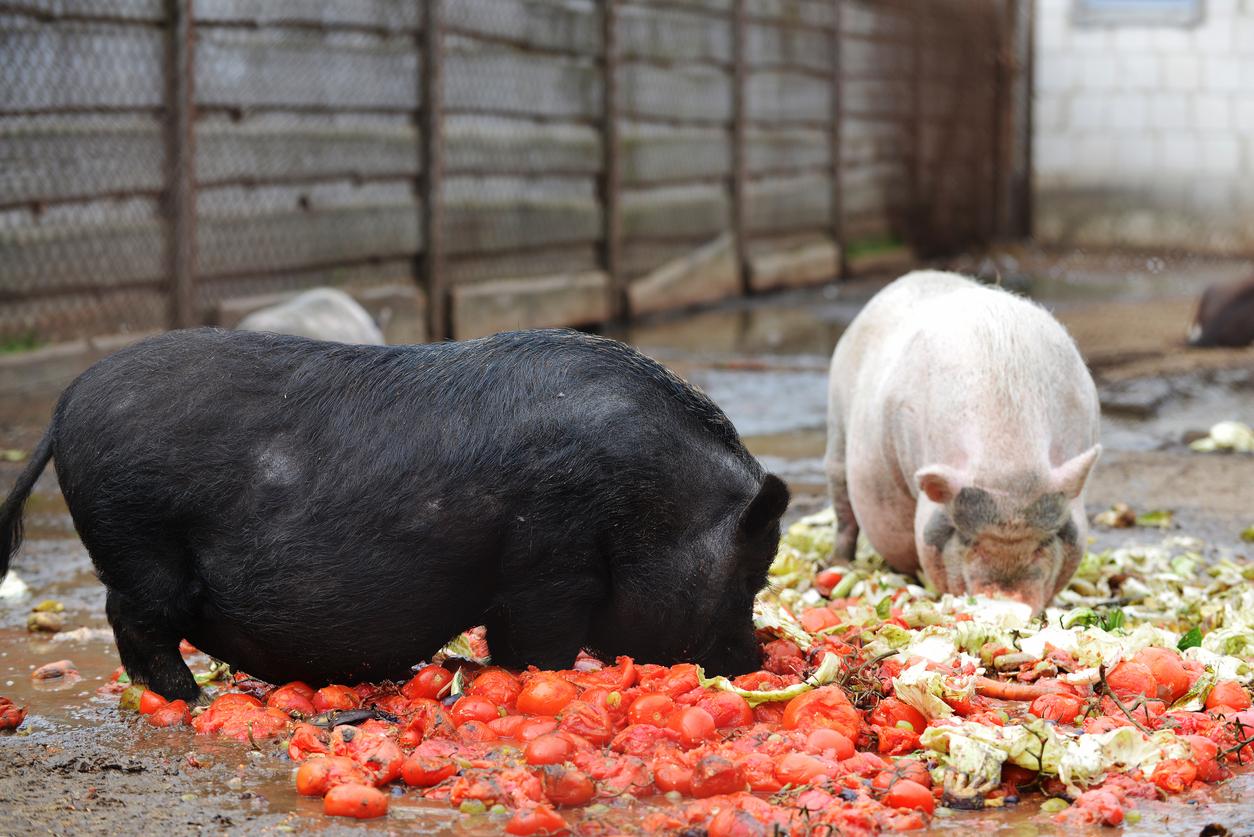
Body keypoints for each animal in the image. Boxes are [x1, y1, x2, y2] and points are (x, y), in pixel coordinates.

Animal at [0, 326, 782, 702]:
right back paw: (189, 700)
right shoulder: (550, 565)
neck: (649, 507)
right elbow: (539, 647)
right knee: (134, 623)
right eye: (751, 576)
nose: (756, 659)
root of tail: (65, 408)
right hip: (137, 544)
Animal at [827, 272, 1103, 612]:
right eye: (967, 539)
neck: (1008, 458)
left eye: (1045, 542)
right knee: (842, 502)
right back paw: (839, 564)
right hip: (837, 425)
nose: (1006, 600)